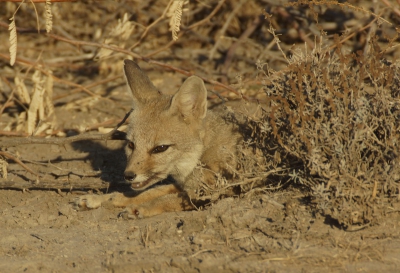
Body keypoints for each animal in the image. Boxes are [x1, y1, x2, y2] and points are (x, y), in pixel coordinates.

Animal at [74, 59, 241, 217]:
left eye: (160, 148)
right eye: (131, 145)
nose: (128, 175)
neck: (203, 153)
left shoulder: (214, 192)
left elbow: (165, 199)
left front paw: (140, 208)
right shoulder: (184, 186)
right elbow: (144, 193)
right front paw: (99, 199)